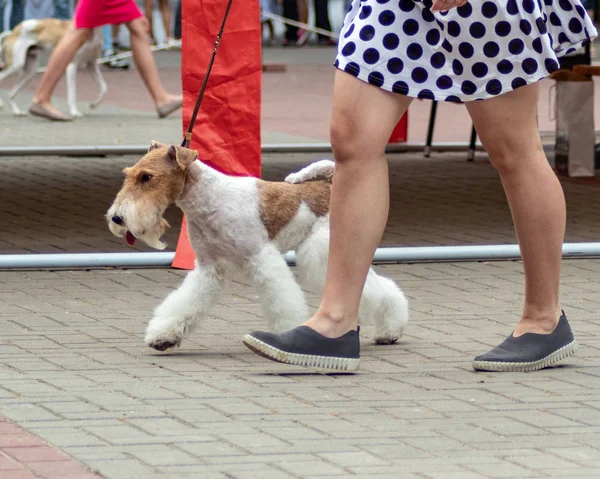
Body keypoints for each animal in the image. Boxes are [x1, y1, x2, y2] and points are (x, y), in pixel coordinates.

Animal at [105, 142, 410, 352]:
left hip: (322, 253)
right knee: (379, 287)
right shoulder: (208, 268)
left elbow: (281, 301)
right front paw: (164, 336)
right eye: (129, 174)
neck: (209, 199)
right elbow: (185, 303)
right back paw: (385, 330)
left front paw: (286, 335)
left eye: (147, 177)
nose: (117, 218)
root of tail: (330, 183)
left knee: (378, 289)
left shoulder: (262, 258)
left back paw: (387, 328)